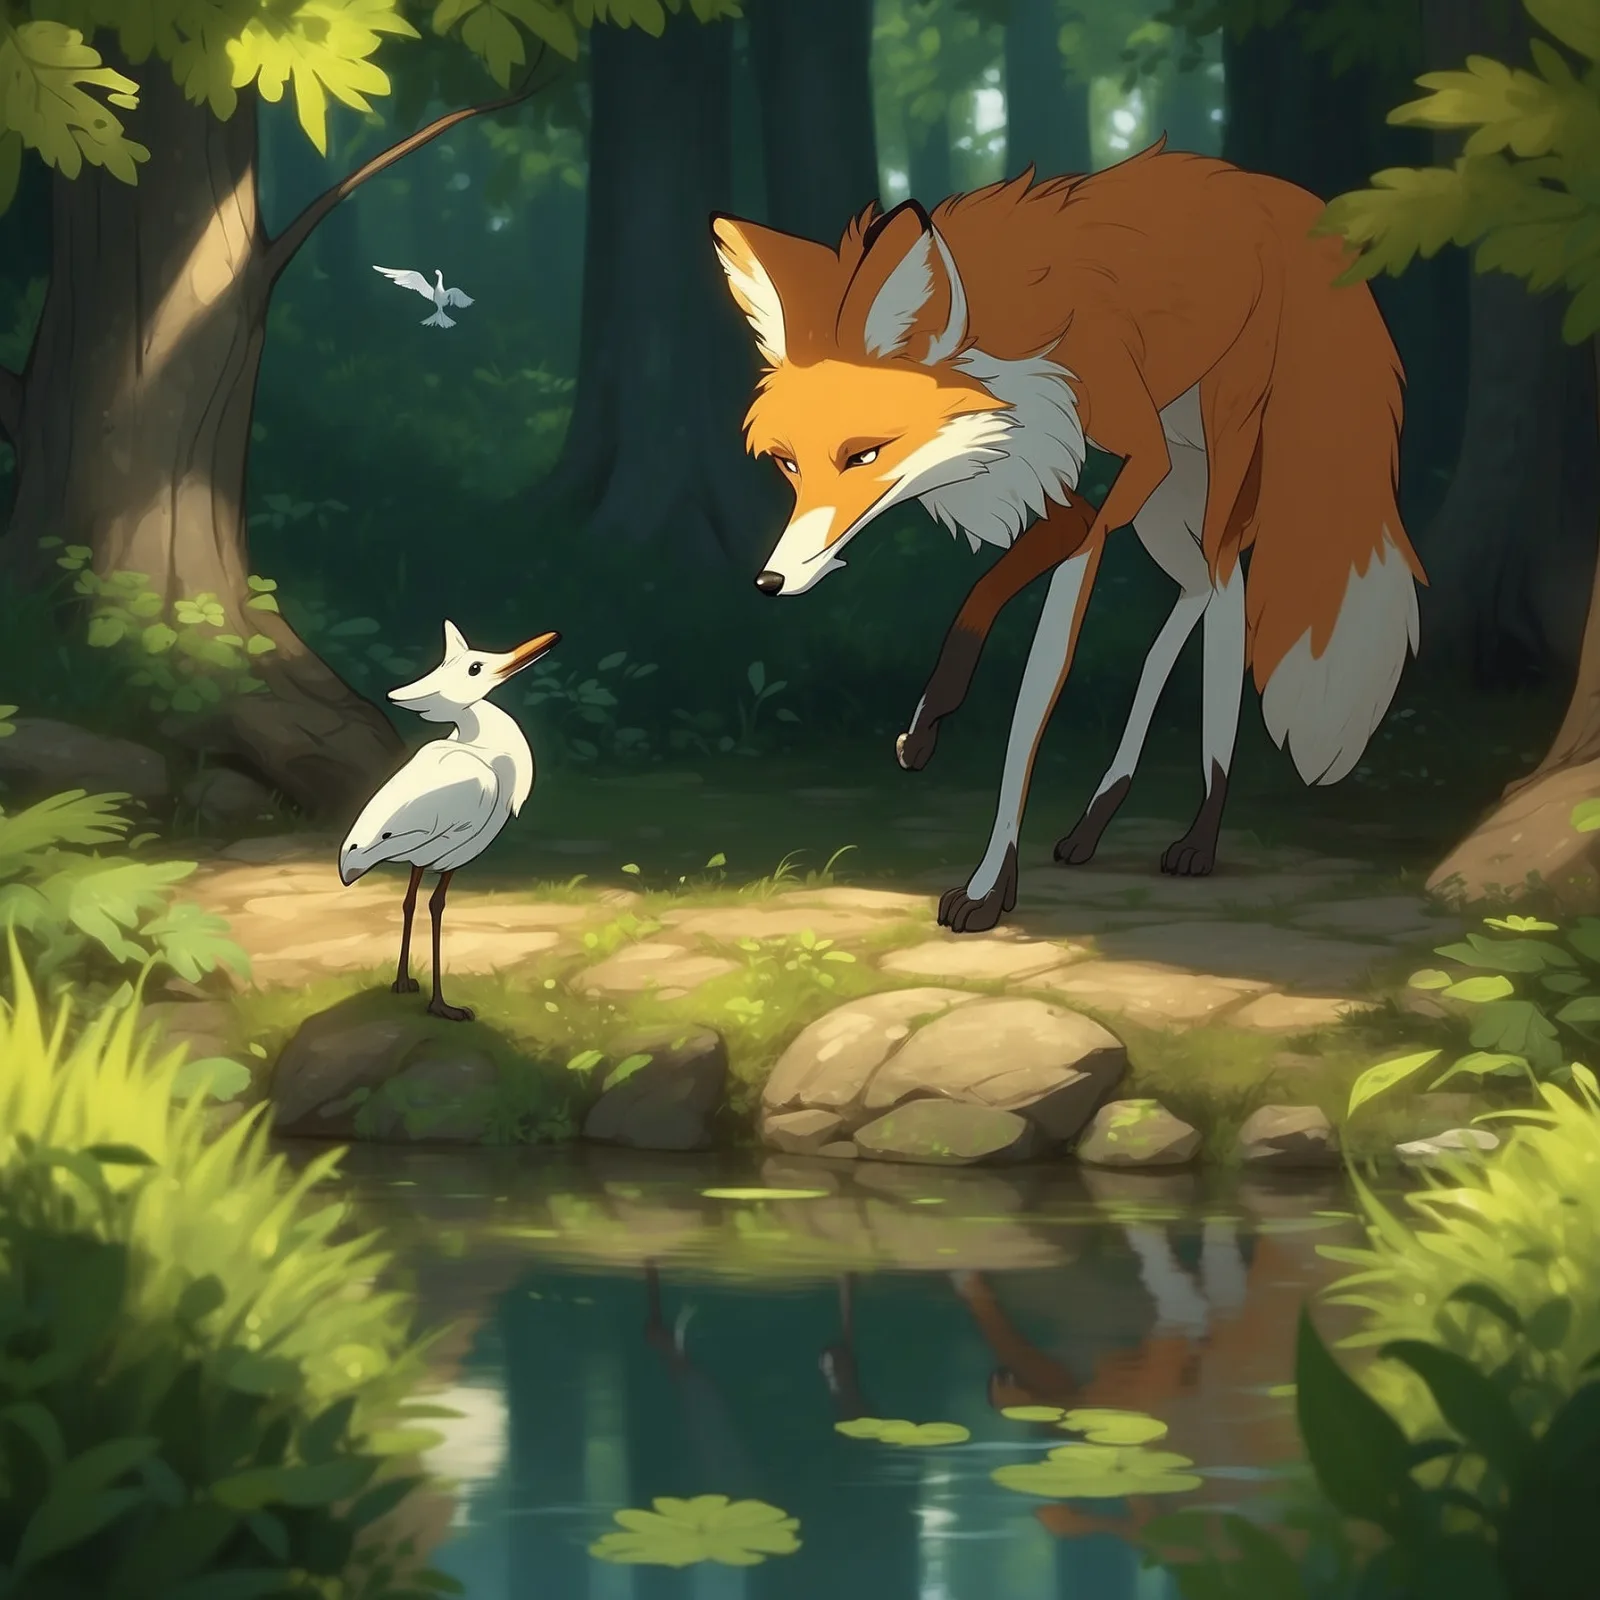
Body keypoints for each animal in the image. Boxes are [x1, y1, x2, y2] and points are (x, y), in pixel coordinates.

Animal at [710, 138, 1424, 934]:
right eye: (789, 464)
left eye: (864, 456)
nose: (771, 582)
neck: (1014, 350)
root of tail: (1279, 193)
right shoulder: (1045, 470)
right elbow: (997, 587)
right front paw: (927, 724)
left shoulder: (1124, 454)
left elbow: (1039, 688)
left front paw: (989, 886)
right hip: (1171, 497)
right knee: (1204, 590)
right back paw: (1098, 815)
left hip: (1216, 455)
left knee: (1223, 590)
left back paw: (1199, 836)